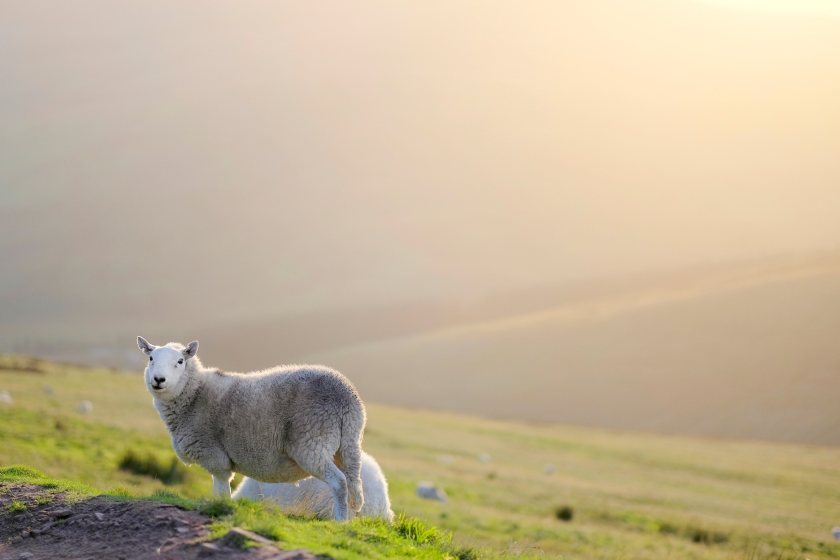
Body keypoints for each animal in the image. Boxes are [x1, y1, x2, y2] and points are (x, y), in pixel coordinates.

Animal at [136, 334, 366, 524]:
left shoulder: (215, 456)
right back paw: (350, 520)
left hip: (313, 441)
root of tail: (348, 398)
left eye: (180, 361)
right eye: (151, 358)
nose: (158, 379)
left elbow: (221, 491)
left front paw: (221, 508)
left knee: (339, 483)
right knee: (353, 486)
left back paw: (339, 521)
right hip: (347, 445)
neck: (194, 395)